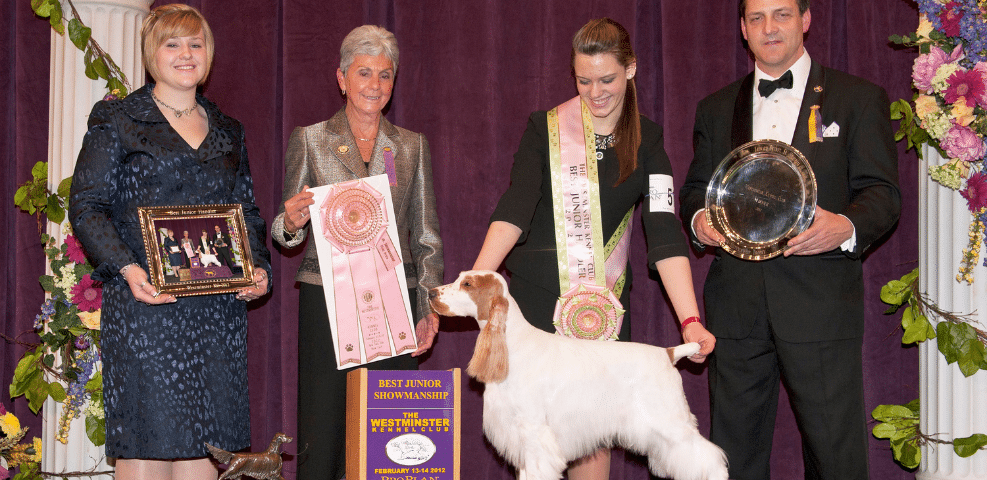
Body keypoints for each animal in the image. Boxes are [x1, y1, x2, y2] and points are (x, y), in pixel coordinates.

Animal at [428, 270, 728, 480]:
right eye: (459, 278)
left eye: (467, 284)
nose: (430, 292)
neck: (513, 344)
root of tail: (668, 353)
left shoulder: (534, 432)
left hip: (670, 422)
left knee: (710, 459)